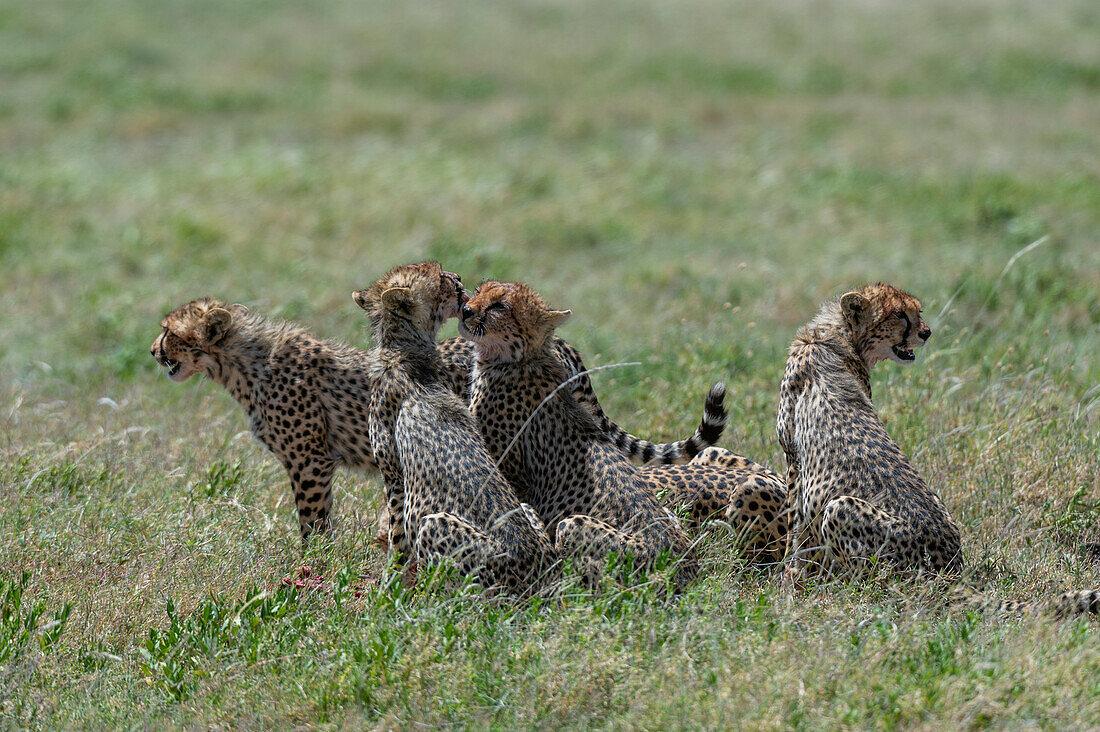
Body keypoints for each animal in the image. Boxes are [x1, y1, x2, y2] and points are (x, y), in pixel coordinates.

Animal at [354, 263, 558, 594]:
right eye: (440, 278)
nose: (459, 278)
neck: (403, 349)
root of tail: (542, 572)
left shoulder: (395, 478)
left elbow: (397, 539)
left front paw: (389, 589)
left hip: (436, 525)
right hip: (528, 511)